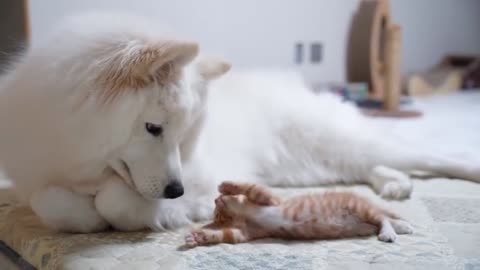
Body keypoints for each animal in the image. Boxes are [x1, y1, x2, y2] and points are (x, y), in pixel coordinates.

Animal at [0, 13, 480, 232]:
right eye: (153, 129)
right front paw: (82, 213)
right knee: (366, 169)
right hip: (316, 166)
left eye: (182, 136)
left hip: (347, 142)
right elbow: (50, 203)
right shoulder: (34, 176)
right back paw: (394, 184)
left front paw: (125, 210)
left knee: (428, 157)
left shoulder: (203, 177)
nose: (174, 190)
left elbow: (116, 202)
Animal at [184, 181, 412, 247]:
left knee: (382, 217)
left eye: (216, 211)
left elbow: (250, 187)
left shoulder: (270, 199)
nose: (216, 200)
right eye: (218, 216)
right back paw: (401, 227)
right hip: (363, 219)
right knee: (380, 219)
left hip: (359, 207)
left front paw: (227, 186)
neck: (245, 215)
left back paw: (390, 232)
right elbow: (226, 235)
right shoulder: (244, 233)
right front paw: (197, 236)